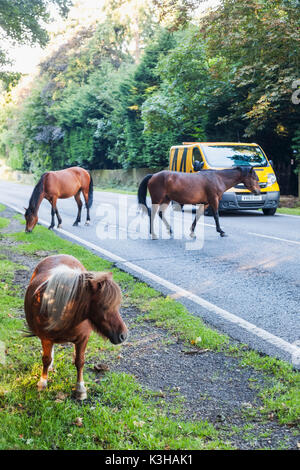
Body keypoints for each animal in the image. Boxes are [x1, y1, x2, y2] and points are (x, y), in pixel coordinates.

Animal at [23, 253, 126, 400]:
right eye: (104, 306)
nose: (123, 335)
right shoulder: (46, 339)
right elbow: (46, 359)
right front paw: (43, 382)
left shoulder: (83, 339)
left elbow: (80, 362)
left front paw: (80, 389)